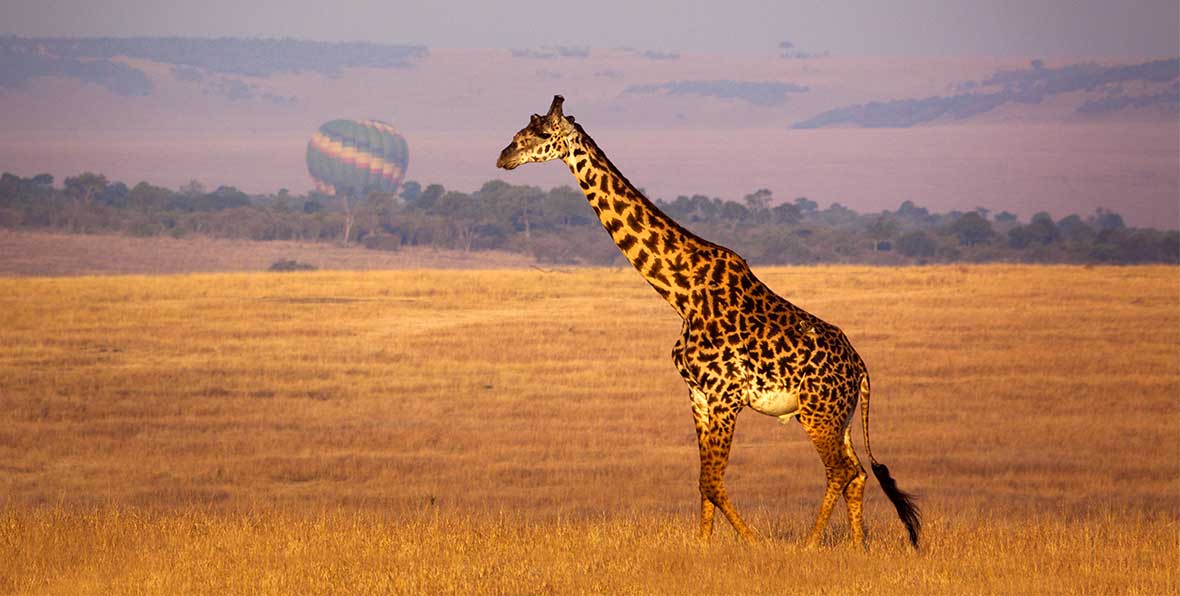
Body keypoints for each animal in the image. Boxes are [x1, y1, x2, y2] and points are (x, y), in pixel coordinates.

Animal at [497, 96, 920, 547]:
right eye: (520, 130)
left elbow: (714, 482)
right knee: (857, 473)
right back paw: (857, 546)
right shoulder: (698, 395)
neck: (682, 292)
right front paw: (703, 545)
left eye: (541, 133)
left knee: (841, 471)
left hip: (817, 413)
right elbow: (704, 483)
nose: (504, 157)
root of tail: (861, 369)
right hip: (839, 416)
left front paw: (754, 543)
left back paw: (809, 545)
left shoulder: (724, 395)